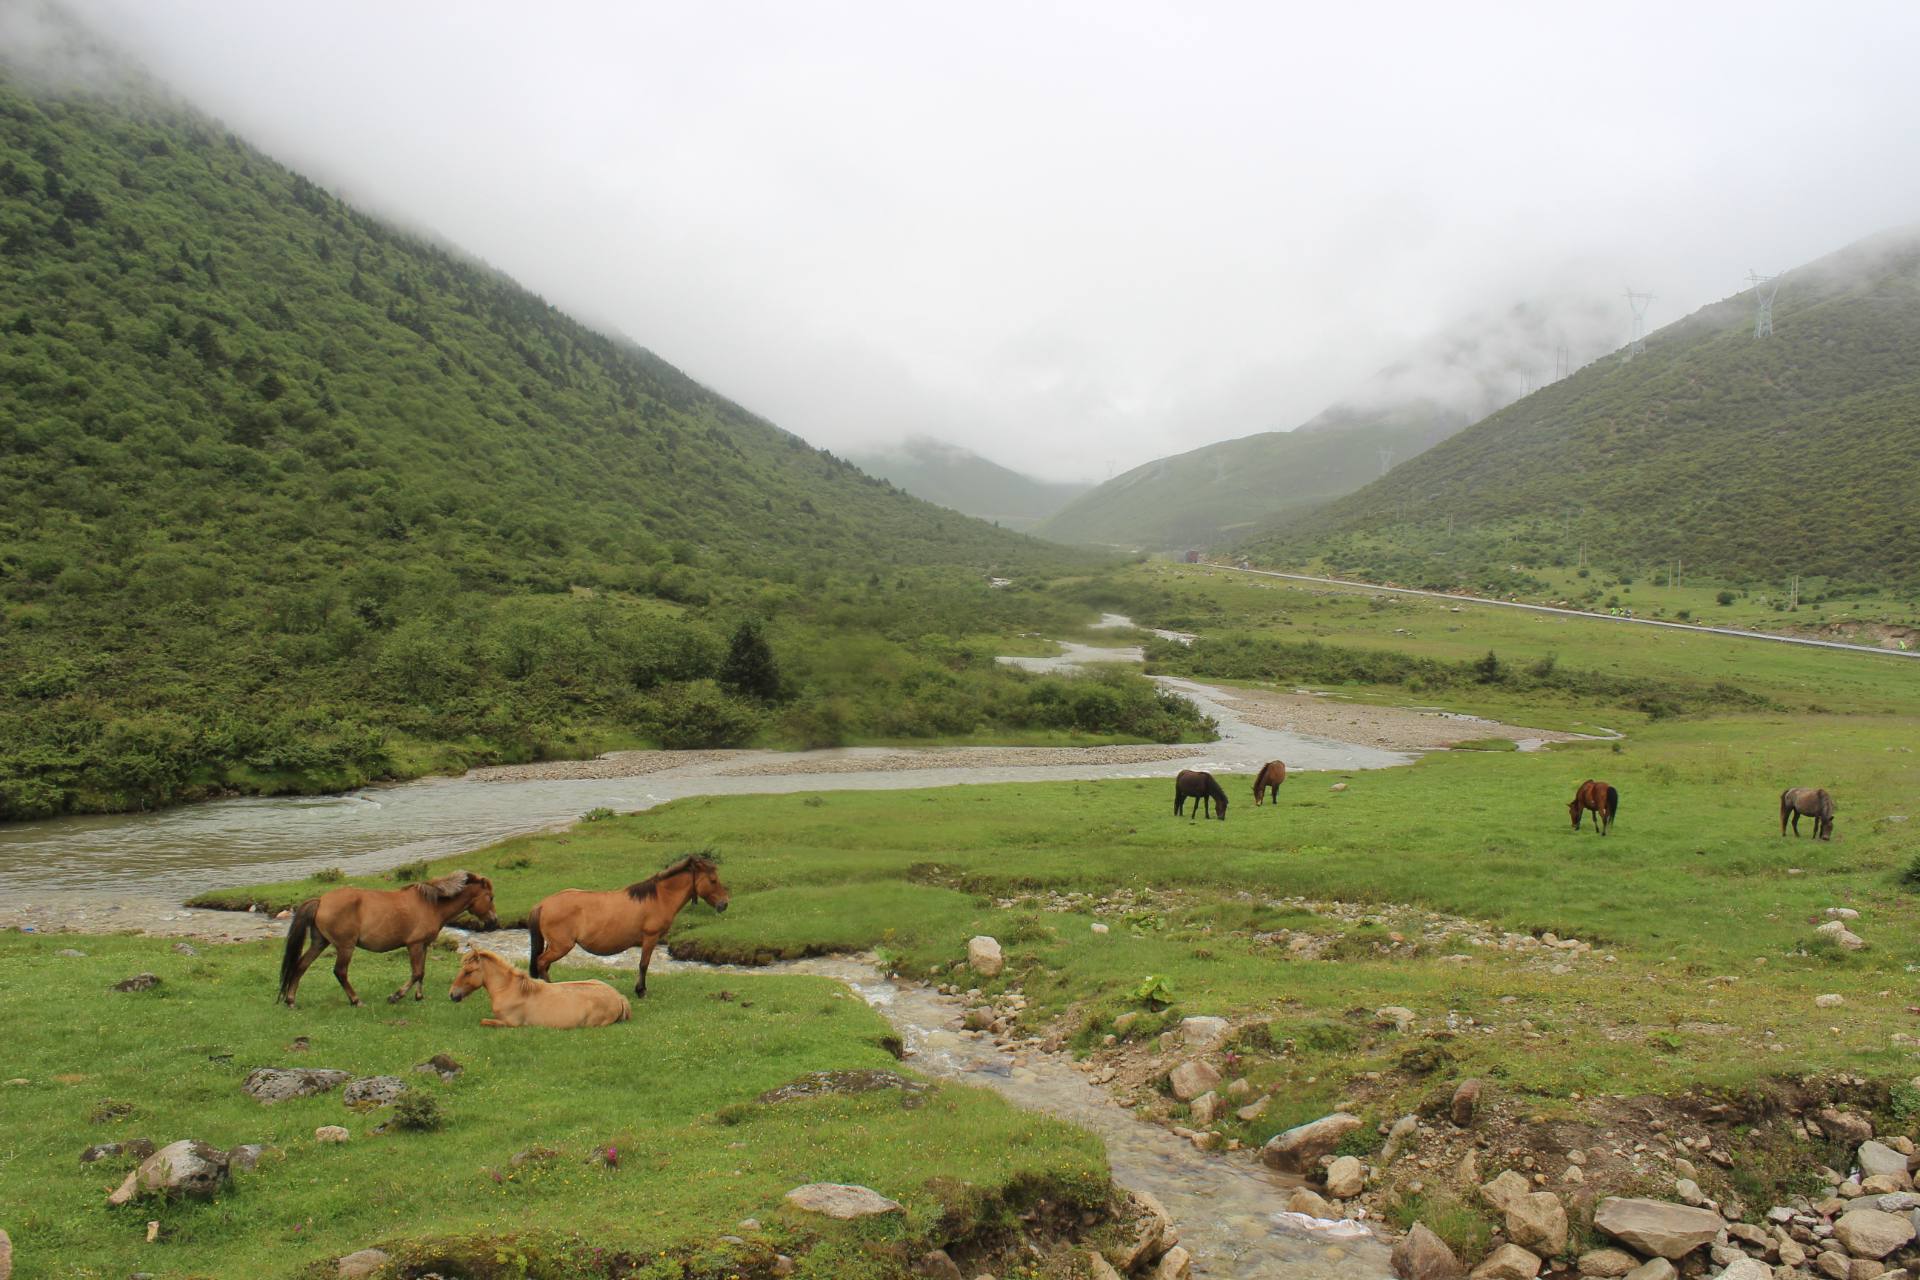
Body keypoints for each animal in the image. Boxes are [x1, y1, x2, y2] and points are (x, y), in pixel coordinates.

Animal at [280, 871, 503, 1013]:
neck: (432, 905)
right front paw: (395, 996)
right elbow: (417, 973)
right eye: (491, 897)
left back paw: (291, 1001)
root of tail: (321, 901)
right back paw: (356, 1000)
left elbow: (422, 973)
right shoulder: (414, 945)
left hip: (320, 942)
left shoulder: (423, 945)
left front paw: (419, 997)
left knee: (300, 966)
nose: (494, 922)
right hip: (345, 947)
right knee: (340, 972)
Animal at [447, 951, 629, 1028]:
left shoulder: (511, 1023)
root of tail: (619, 997)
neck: (510, 989)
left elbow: (484, 1021)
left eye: (468, 971)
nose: (452, 994)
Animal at [529, 852, 729, 997]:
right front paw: (641, 991)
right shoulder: (650, 938)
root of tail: (543, 904)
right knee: (542, 962)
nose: (724, 903)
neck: (660, 898)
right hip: (561, 946)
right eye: (713, 880)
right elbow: (643, 964)